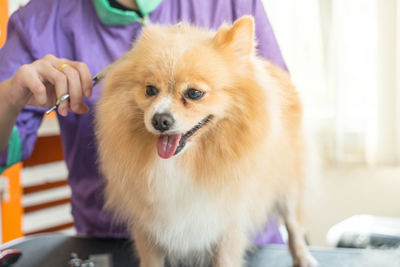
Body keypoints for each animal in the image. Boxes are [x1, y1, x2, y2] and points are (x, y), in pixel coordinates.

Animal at [95, 16, 318, 267]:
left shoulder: (227, 223)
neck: (182, 162)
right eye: (150, 90)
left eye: (194, 93)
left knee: (294, 224)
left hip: (288, 183)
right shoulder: (148, 224)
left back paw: (303, 257)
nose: (160, 119)